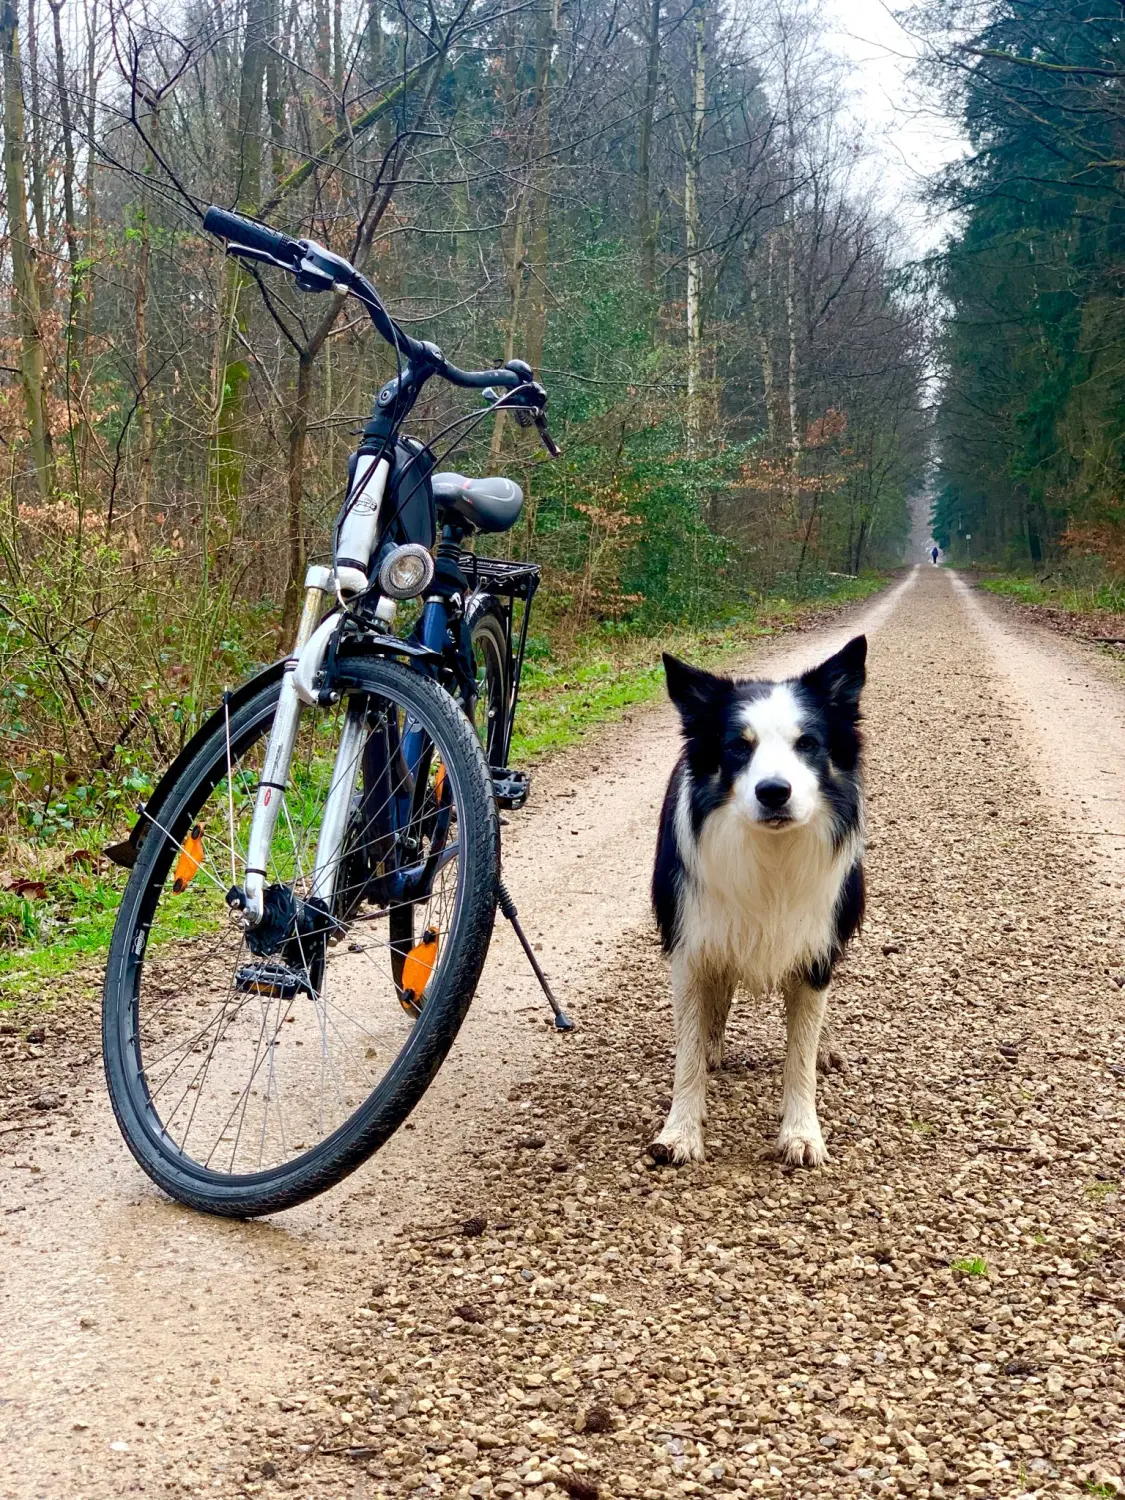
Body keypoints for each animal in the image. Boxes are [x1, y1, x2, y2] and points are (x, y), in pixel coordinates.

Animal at [648, 639, 870, 1164]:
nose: (773, 792)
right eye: (737, 747)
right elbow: (688, 1052)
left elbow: (800, 1055)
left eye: (807, 743)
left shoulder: (813, 947)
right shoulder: (692, 944)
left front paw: (802, 1132)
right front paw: (680, 1133)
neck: (771, 854)